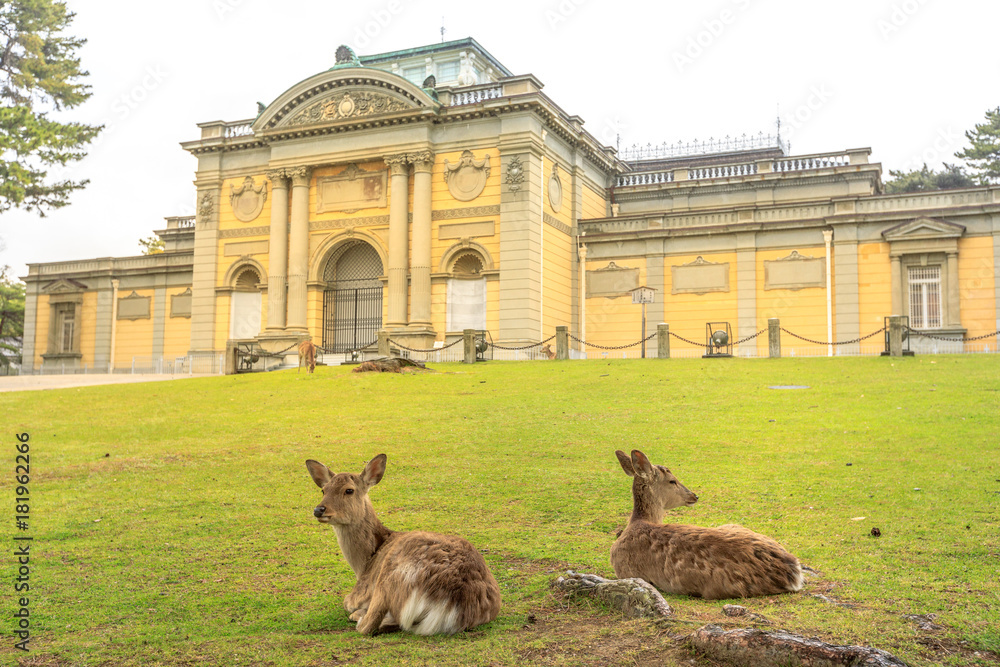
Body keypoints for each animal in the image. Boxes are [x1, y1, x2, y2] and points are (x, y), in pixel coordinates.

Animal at [305, 454, 502, 635]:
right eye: (323, 490)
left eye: (349, 490)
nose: (319, 510)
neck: (363, 564)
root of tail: (454, 604)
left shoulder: (360, 592)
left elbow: (347, 603)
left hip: (389, 577)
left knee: (368, 626)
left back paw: (360, 616)